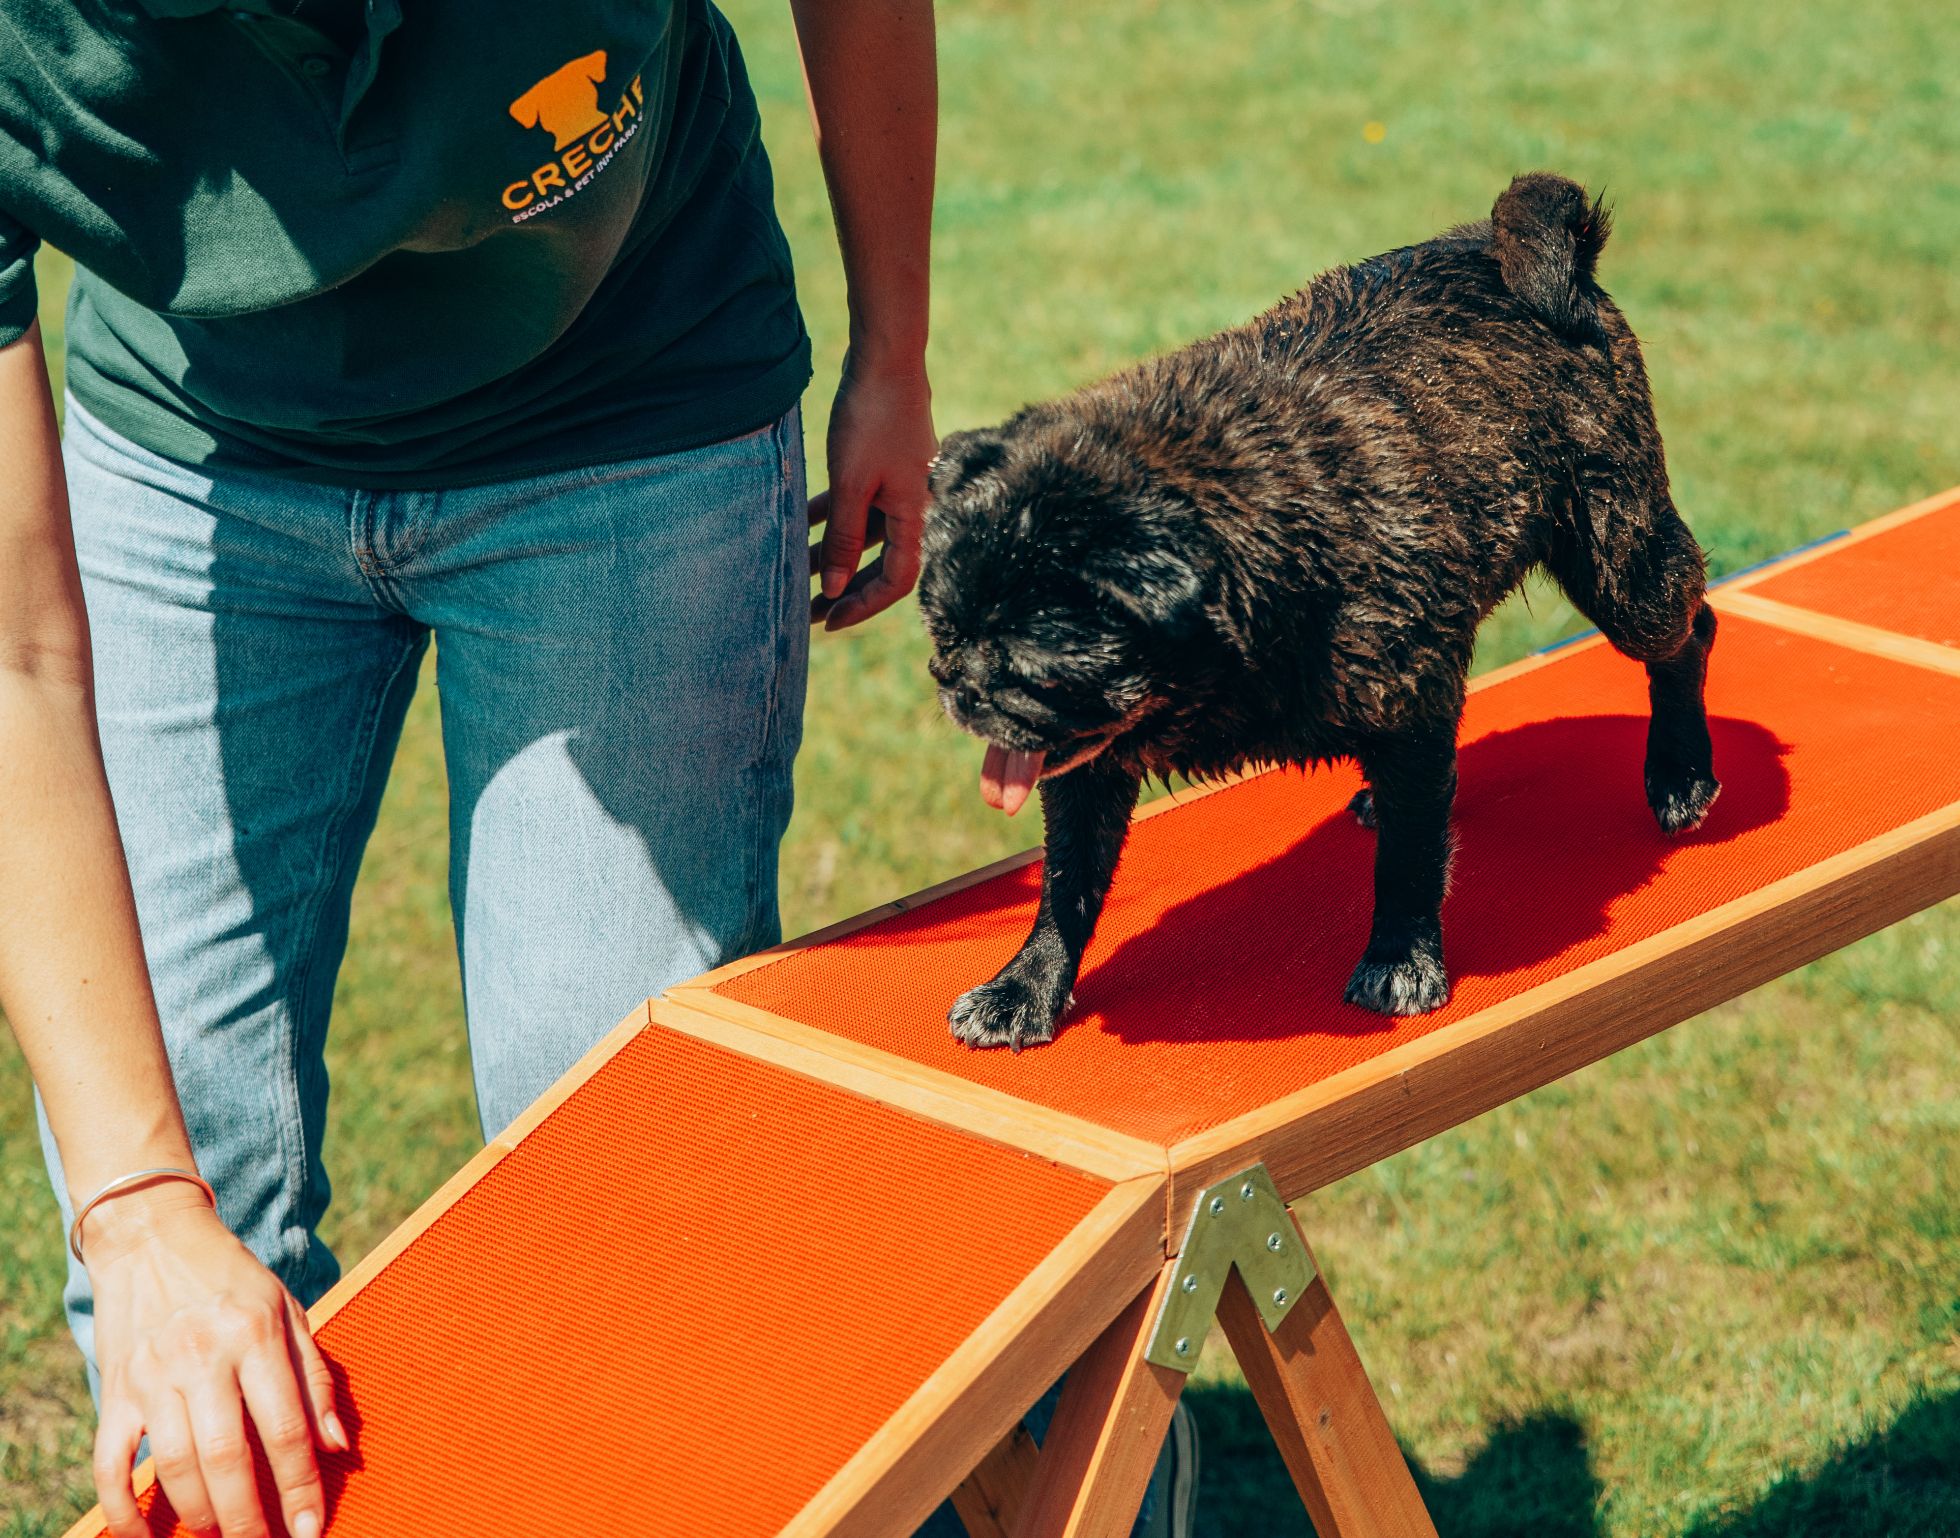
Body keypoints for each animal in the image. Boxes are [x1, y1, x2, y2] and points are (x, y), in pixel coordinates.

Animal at [917, 174, 1716, 1050]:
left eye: (1029, 663)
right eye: (943, 632)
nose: (957, 685)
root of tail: (1516, 253)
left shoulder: (1409, 704)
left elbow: (1407, 861)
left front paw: (1400, 957)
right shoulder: (1088, 768)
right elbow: (1067, 885)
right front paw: (1026, 986)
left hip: (1623, 570)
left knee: (1686, 633)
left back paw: (1681, 771)